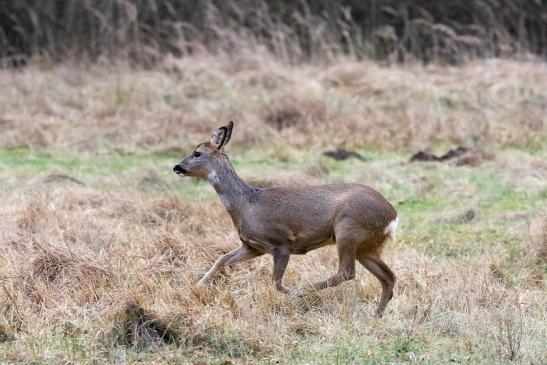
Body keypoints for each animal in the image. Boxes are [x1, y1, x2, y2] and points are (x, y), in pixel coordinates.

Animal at [174, 121, 398, 314]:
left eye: (196, 153)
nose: (176, 167)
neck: (247, 205)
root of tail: (392, 216)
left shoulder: (282, 242)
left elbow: (276, 283)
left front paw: (294, 294)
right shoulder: (252, 246)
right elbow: (221, 260)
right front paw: (197, 286)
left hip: (348, 229)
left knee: (347, 272)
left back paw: (306, 290)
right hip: (367, 245)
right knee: (388, 277)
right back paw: (377, 315)